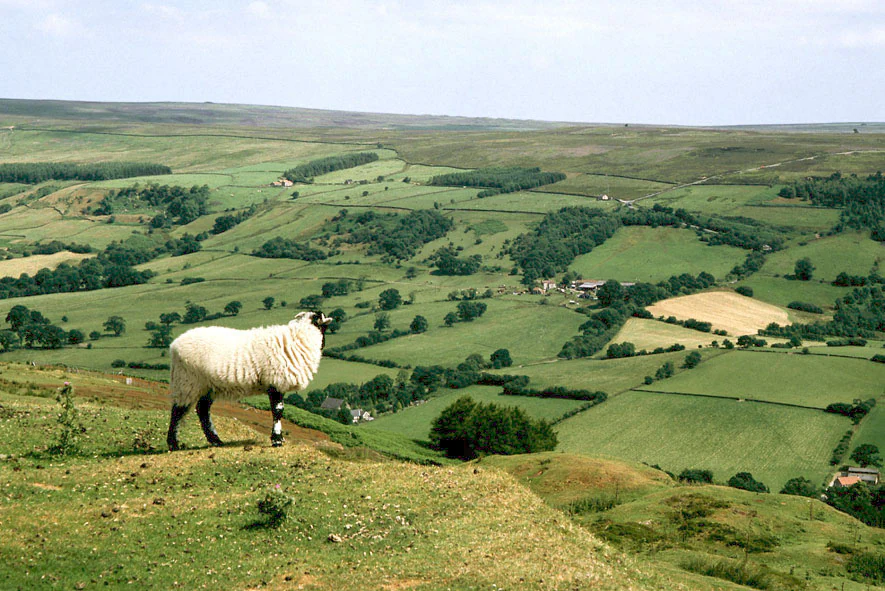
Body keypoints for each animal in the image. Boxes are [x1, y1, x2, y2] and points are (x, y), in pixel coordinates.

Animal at [166, 311, 332, 451]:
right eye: (324, 326)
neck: (299, 337)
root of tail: (174, 345)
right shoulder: (276, 382)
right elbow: (278, 411)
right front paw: (277, 440)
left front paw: (278, 439)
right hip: (187, 381)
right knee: (178, 411)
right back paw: (173, 444)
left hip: (208, 386)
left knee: (202, 410)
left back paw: (216, 441)